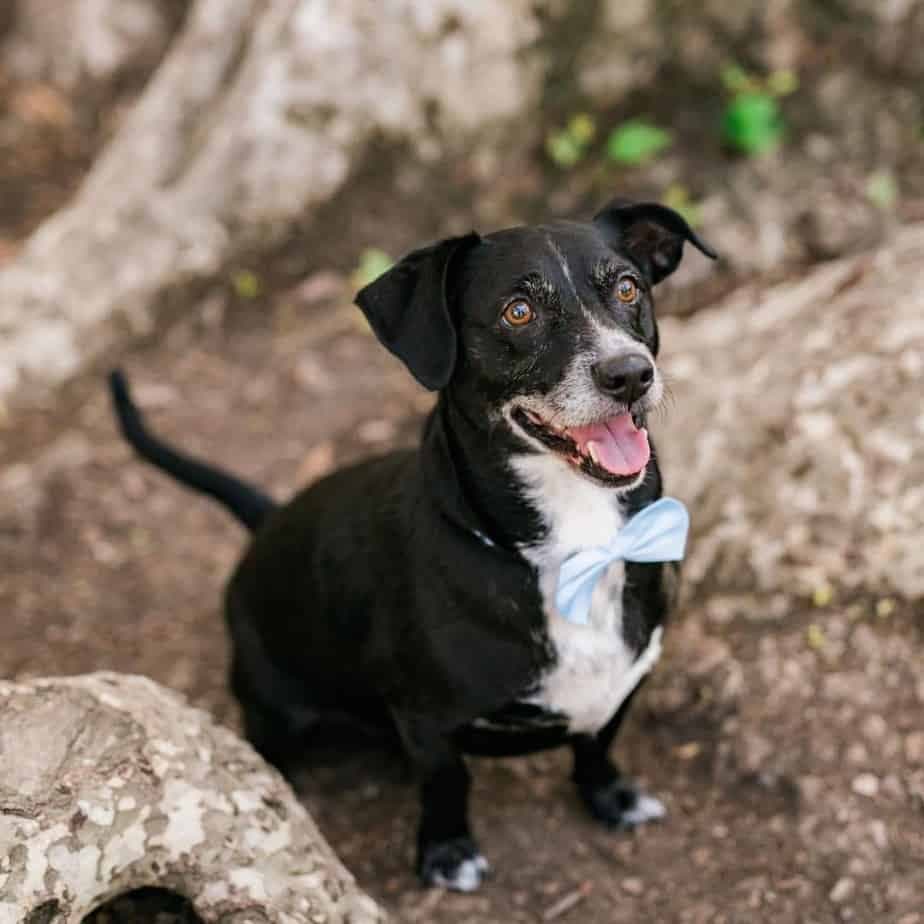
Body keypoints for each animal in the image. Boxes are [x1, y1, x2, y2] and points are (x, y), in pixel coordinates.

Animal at [108, 199, 716, 892]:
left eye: (628, 288)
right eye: (519, 311)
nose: (630, 373)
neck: (575, 546)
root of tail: (269, 522)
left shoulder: (627, 678)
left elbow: (598, 742)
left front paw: (611, 796)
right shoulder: (427, 718)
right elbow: (449, 781)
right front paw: (448, 852)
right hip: (275, 700)